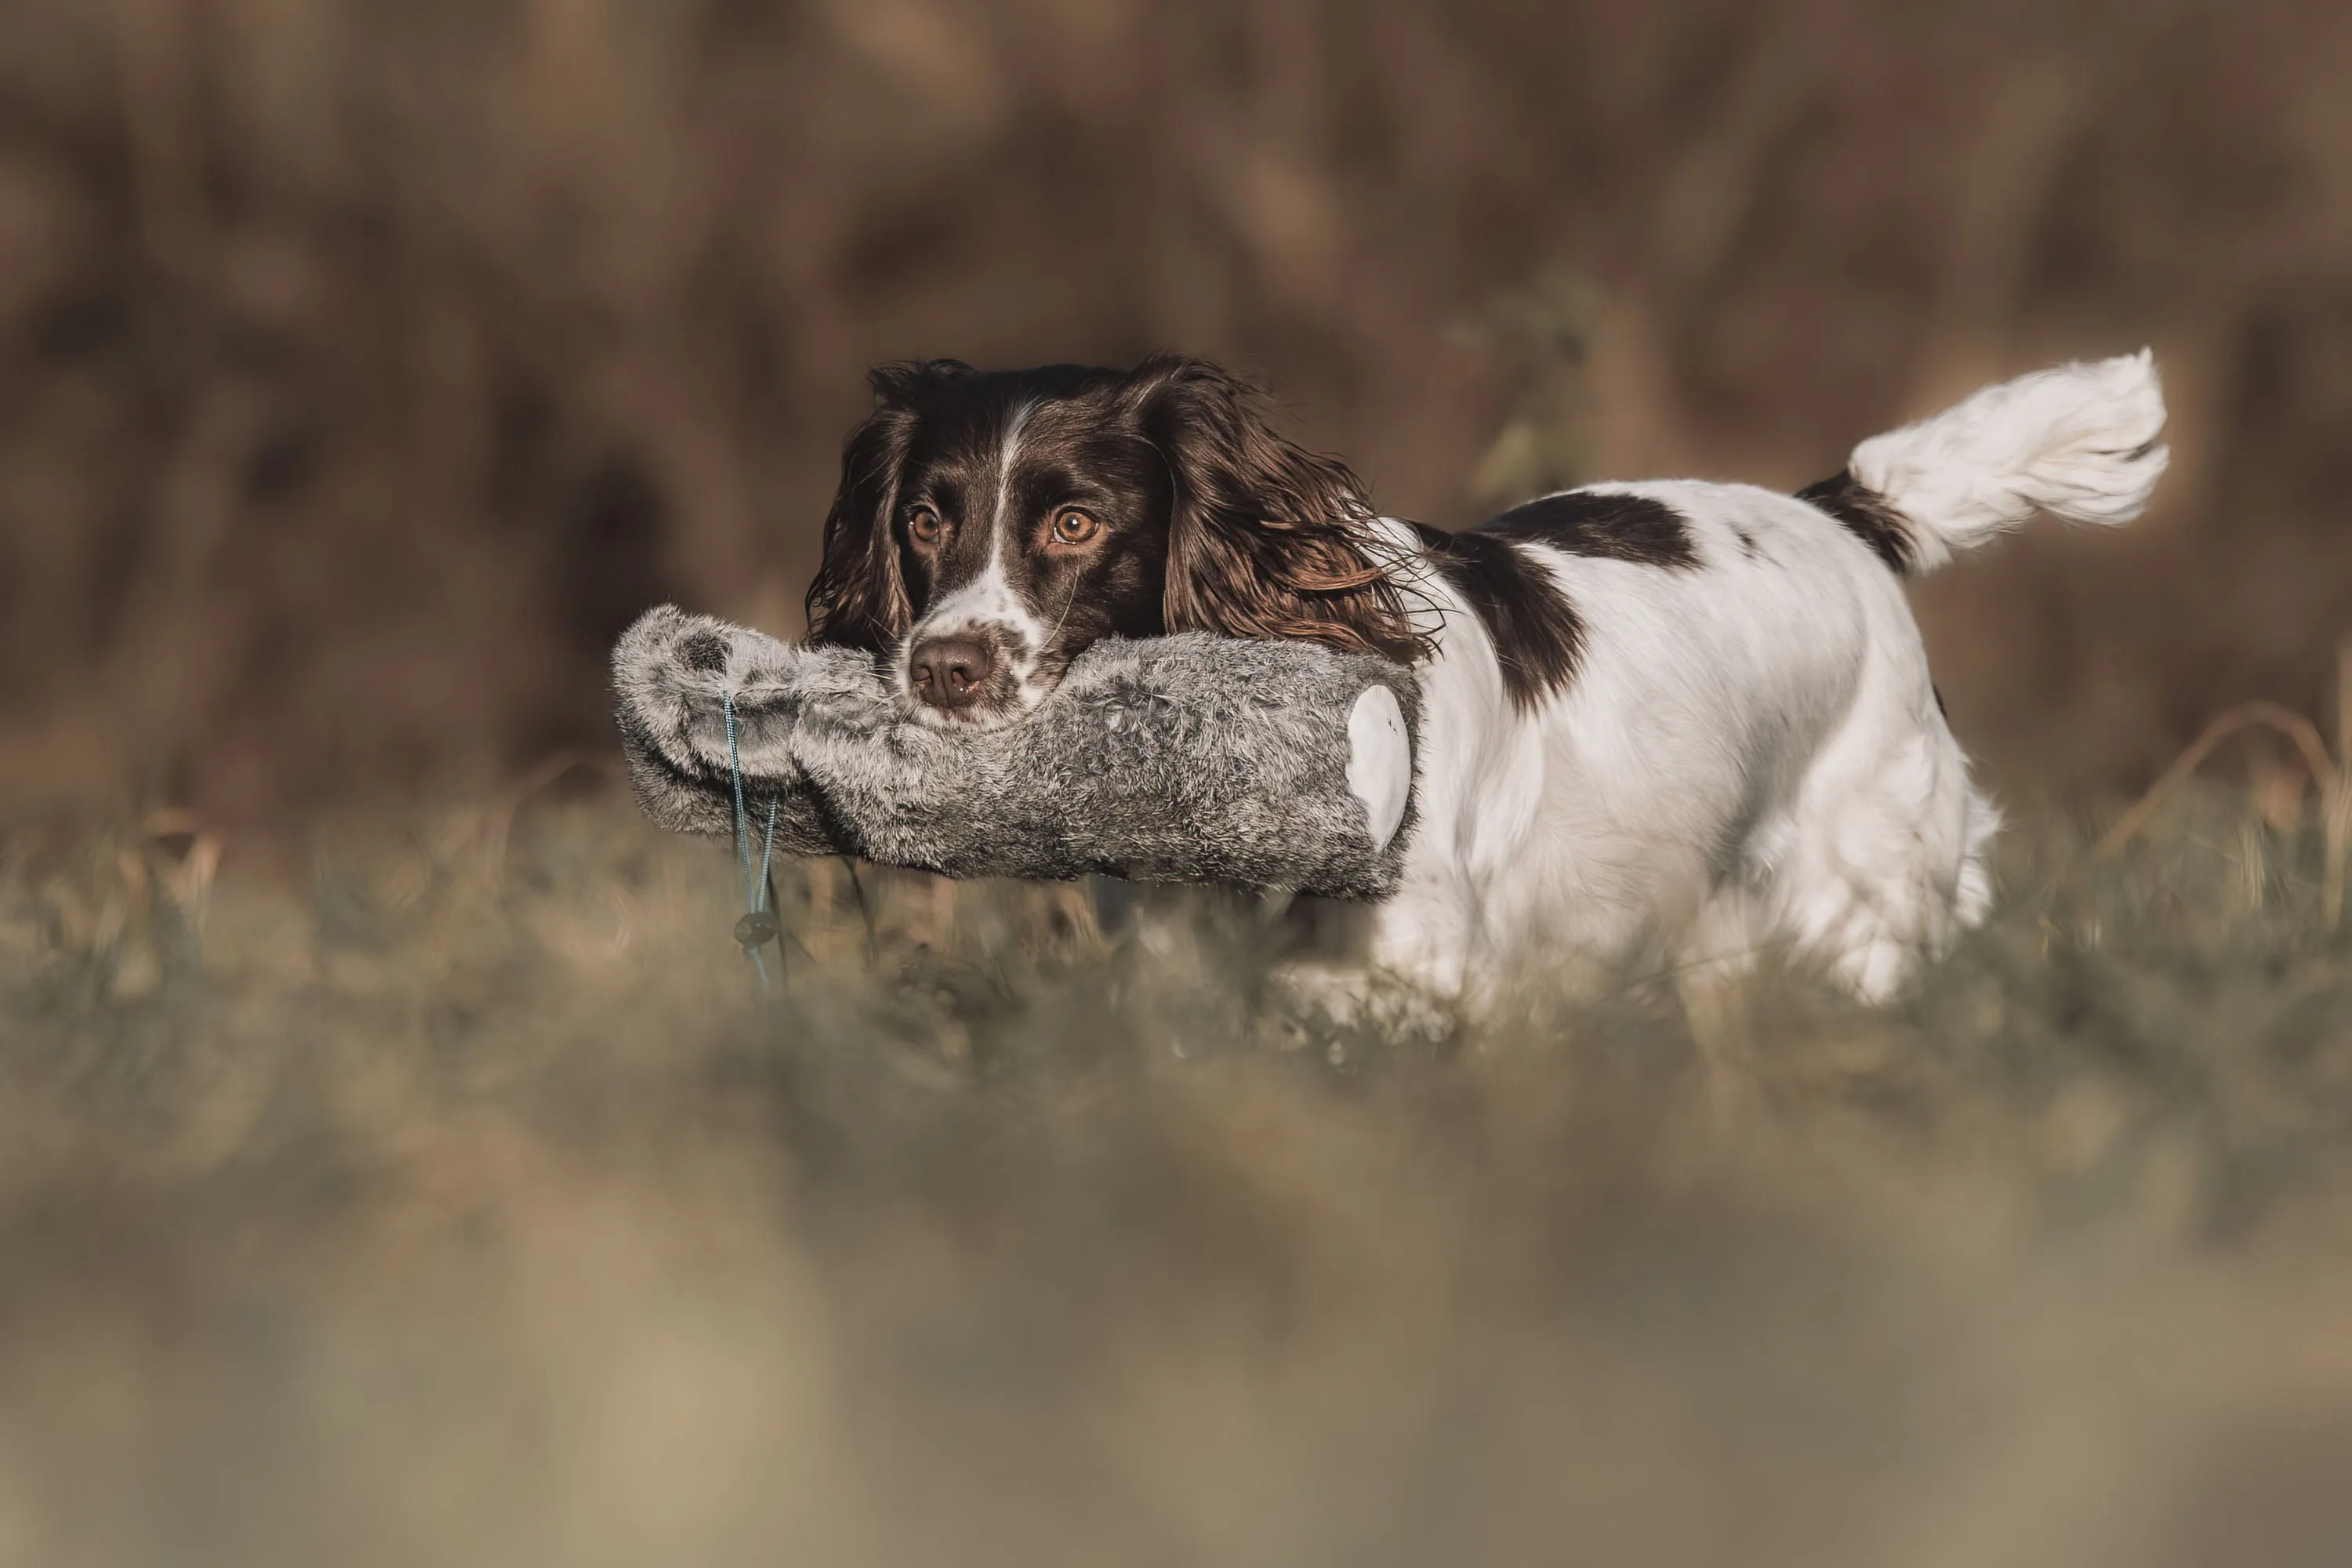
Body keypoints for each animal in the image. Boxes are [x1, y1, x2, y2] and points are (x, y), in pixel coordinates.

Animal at [804, 352, 2164, 1006]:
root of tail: (1843, 517)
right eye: (923, 520)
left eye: (1077, 523)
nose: (944, 669)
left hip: (1868, 907)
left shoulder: (1416, 973)